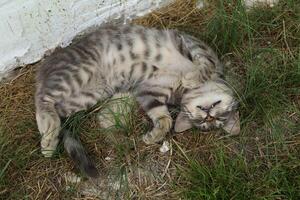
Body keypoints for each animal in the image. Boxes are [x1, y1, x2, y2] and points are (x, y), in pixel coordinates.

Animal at [35, 24, 240, 177]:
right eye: (216, 109)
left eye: (210, 121)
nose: (208, 114)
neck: (181, 89)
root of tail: (45, 68)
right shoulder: (190, 43)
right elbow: (205, 63)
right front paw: (193, 77)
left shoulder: (149, 91)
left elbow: (164, 117)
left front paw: (154, 135)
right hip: (80, 71)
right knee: (41, 97)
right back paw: (47, 139)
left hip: (90, 94)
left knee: (52, 107)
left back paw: (49, 137)